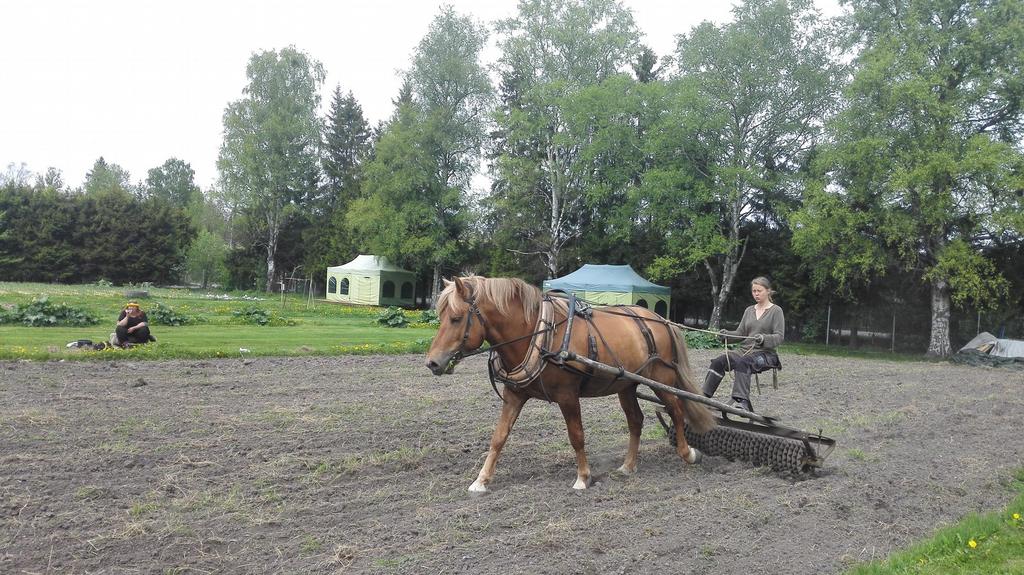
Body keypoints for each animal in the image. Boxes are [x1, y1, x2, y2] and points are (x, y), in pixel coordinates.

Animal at [423, 276, 712, 491]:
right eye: (441, 316)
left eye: (456, 318)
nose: (432, 363)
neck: (538, 333)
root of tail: (660, 319)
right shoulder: (514, 394)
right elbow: (499, 437)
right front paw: (481, 480)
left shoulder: (567, 395)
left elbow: (577, 436)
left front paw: (583, 478)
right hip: (626, 385)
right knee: (636, 421)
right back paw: (628, 466)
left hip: (661, 379)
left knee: (676, 410)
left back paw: (688, 453)